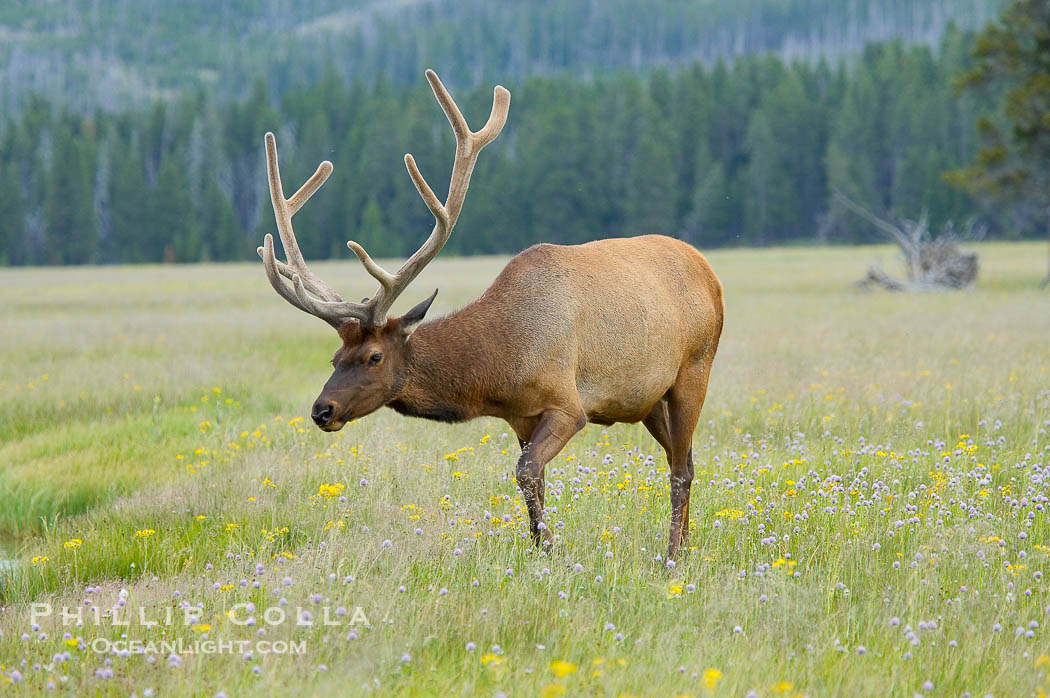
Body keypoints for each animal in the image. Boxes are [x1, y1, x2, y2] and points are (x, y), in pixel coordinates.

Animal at [258, 69, 724, 559]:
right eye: (334, 359)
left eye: (374, 357)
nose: (321, 410)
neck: (500, 366)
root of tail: (709, 272)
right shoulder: (521, 417)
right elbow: (535, 485)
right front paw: (541, 545)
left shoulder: (568, 404)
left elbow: (525, 473)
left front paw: (551, 548)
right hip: (648, 398)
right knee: (684, 458)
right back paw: (686, 544)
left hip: (694, 369)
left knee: (681, 468)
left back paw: (673, 555)